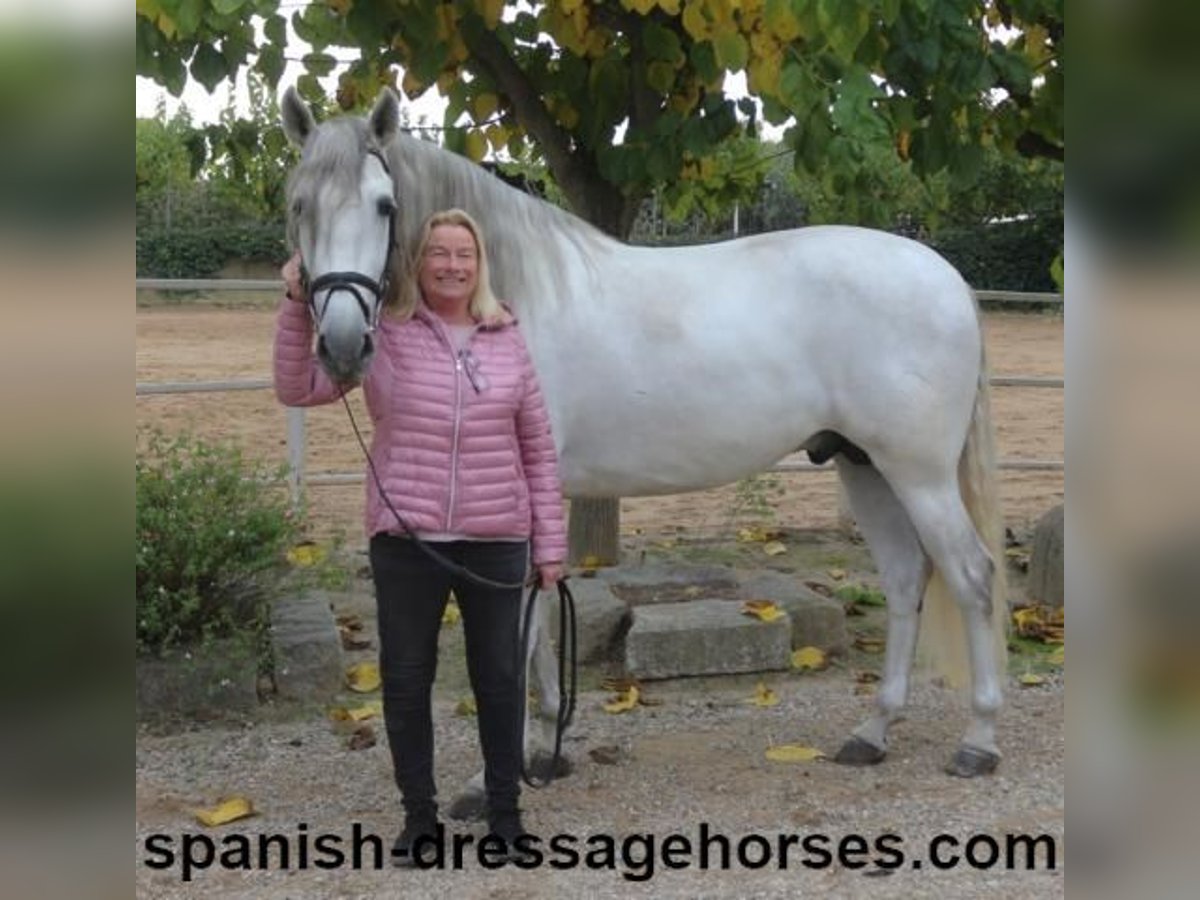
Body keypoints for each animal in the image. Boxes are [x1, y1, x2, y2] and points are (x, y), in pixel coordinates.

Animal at [280, 88, 1012, 816]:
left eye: (384, 204)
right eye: (298, 204)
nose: (342, 345)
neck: (509, 302)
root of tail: (948, 279)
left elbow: (516, 635)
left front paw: (493, 778)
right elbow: (537, 628)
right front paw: (545, 748)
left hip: (918, 474)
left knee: (972, 577)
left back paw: (978, 740)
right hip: (865, 467)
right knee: (906, 579)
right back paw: (873, 731)